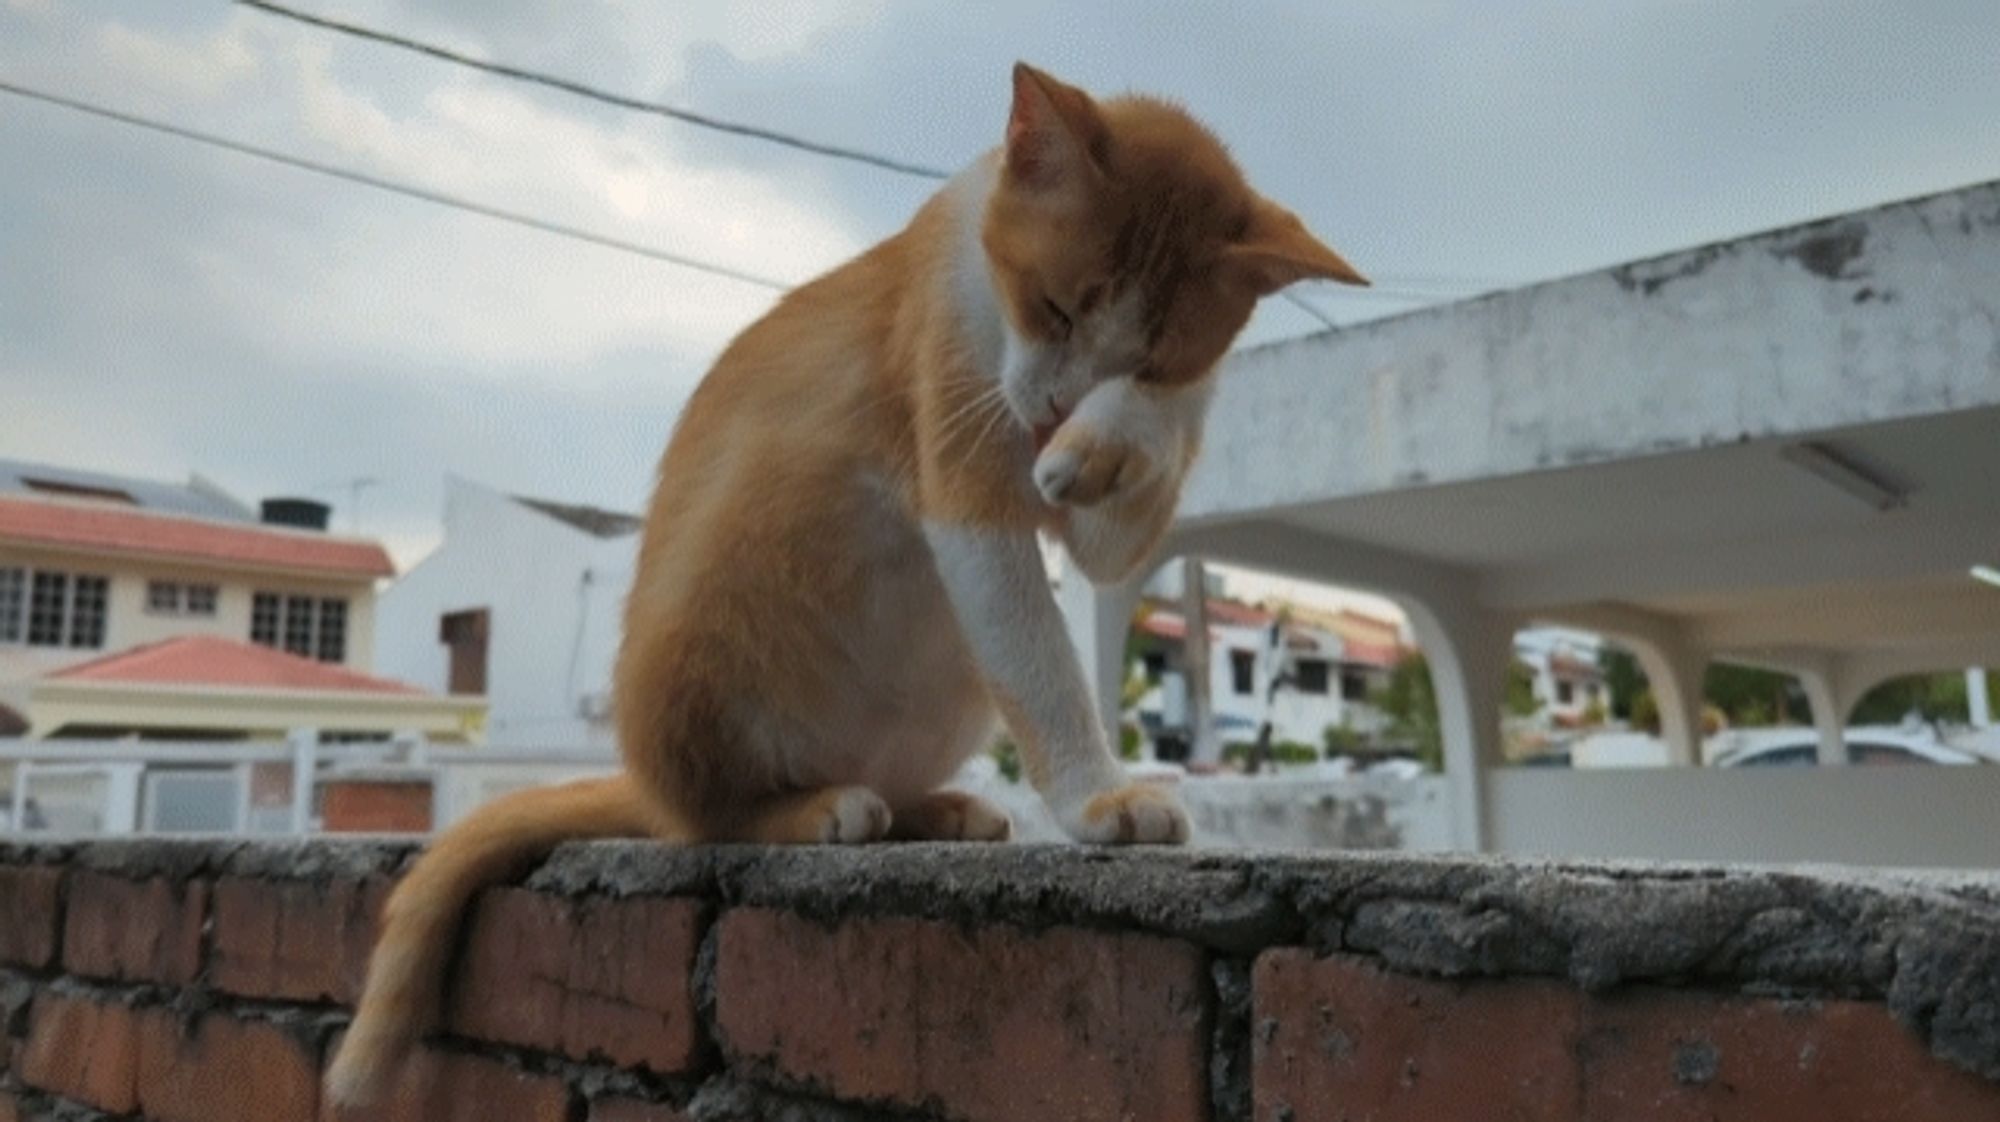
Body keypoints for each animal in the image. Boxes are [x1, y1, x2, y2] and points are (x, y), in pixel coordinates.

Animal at [324, 61, 1360, 1104]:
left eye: (1149, 354)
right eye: (1056, 308)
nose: (1056, 413)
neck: (976, 274)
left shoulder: (1104, 511)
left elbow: (1139, 483)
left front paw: (1118, 428)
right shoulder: (961, 455)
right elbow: (1043, 666)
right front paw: (1097, 797)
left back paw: (931, 807)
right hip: (705, 644)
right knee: (707, 821)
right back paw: (811, 808)